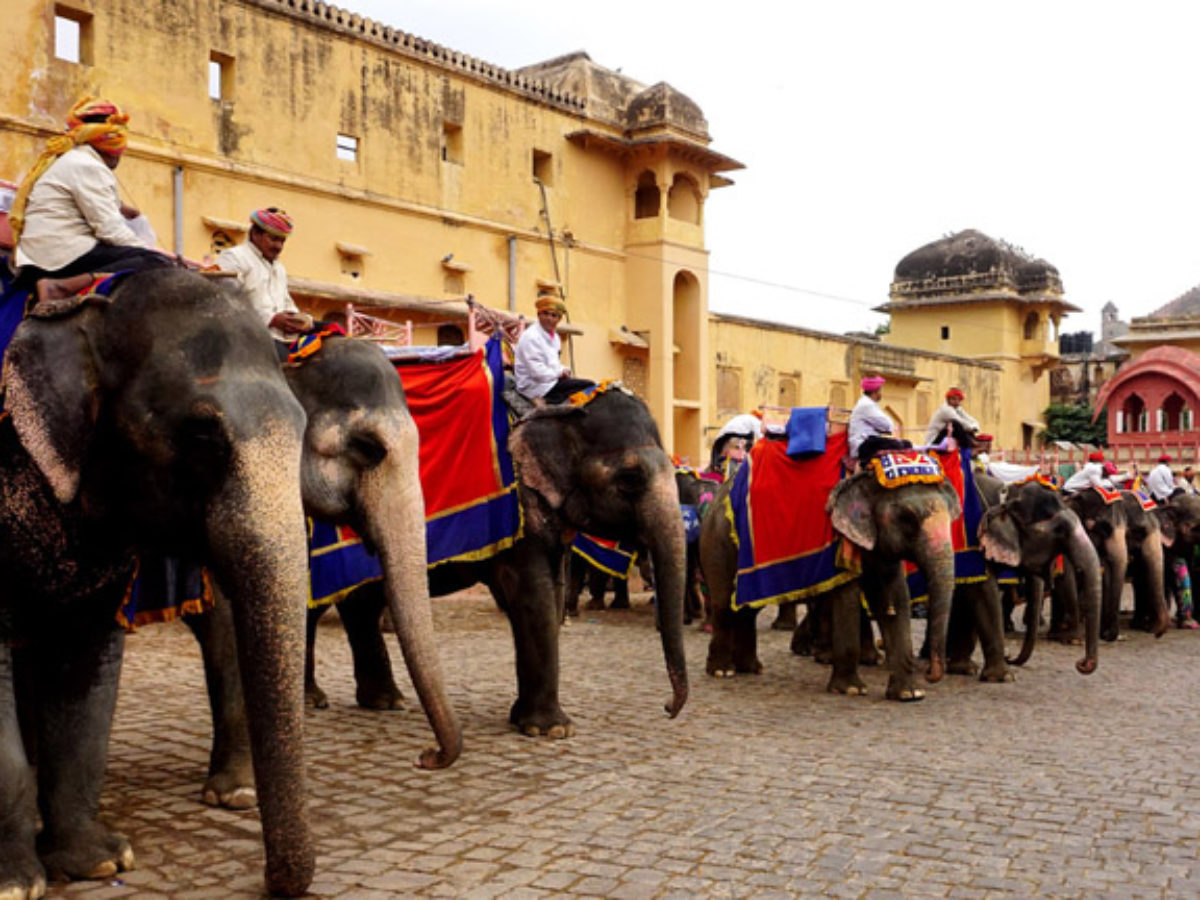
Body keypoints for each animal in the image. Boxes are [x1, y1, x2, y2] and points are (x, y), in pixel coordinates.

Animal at [0, 271, 314, 897]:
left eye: (302, 429)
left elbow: (86, 671)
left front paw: (99, 863)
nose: (272, 879)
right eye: (202, 437)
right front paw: (17, 883)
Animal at [700, 465, 955, 705]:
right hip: (719, 541)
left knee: (747, 610)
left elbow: (896, 599)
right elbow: (847, 598)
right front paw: (851, 690)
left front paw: (910, 694)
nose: (930, 673)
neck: (867, 477)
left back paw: (751, 668)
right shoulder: (838, 545)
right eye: (907, 518)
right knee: (724, 604)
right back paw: (723, 671)